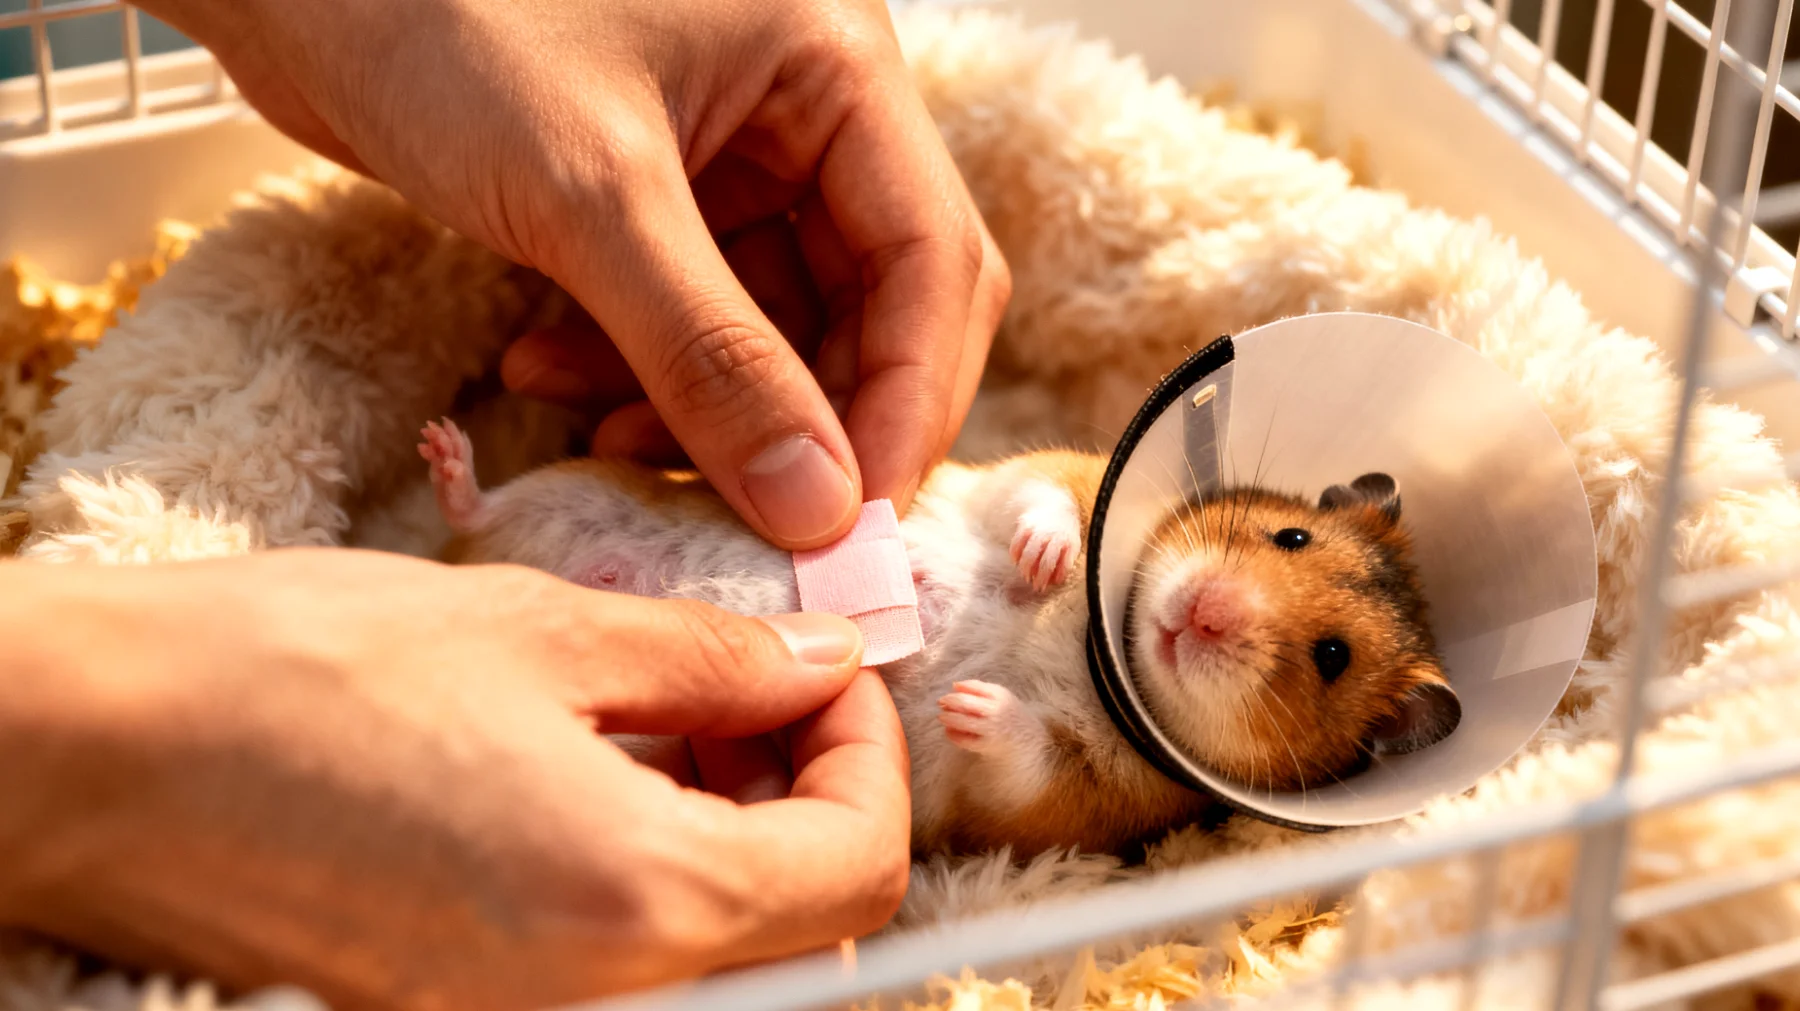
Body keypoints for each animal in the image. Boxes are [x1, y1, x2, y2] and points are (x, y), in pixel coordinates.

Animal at [416, 419, 1460, 858]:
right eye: (1290, 536)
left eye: (1333, 658)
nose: (1205, 609)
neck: (1102, 651)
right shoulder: (1045, 472)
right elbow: (1038, 499)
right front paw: (1044, 558)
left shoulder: (1076, 803)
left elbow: (1026, 756)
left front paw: (969, 701)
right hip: (566, 487)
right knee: (481, 504)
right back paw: (442, 446)